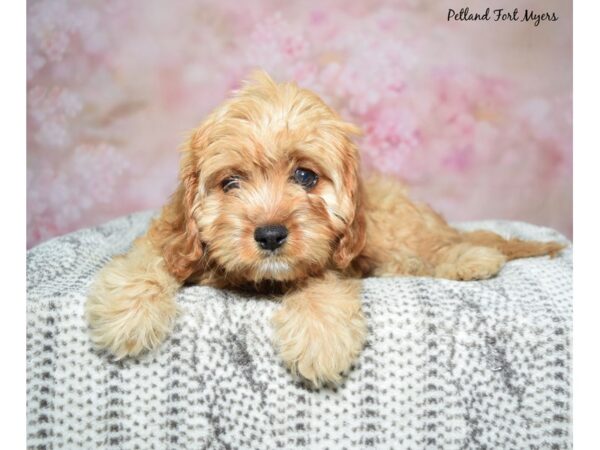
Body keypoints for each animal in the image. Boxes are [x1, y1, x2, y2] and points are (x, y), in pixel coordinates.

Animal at [84, 70, 564, 386]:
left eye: (305, 176)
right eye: (230, 183)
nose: (270, 235)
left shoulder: (335, 256)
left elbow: (318, 281)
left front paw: (321, 337)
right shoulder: (168, 236)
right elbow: (146, 262)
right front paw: (128, 313)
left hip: (392, 230)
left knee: (440, 246)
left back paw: (468, 259)